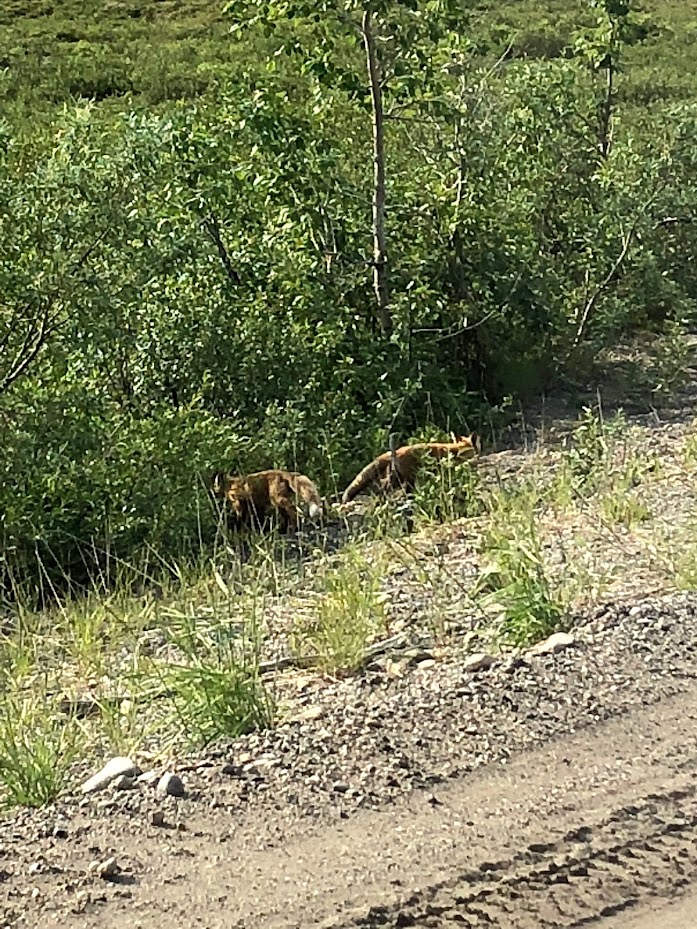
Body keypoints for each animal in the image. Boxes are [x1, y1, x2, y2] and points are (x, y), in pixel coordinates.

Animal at [342, 434, 482, 504]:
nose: (478, 456)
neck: (456, 450)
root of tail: (395, 451)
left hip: (399, 479)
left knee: (383, 490)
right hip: (405, 479)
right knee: (383, 491)